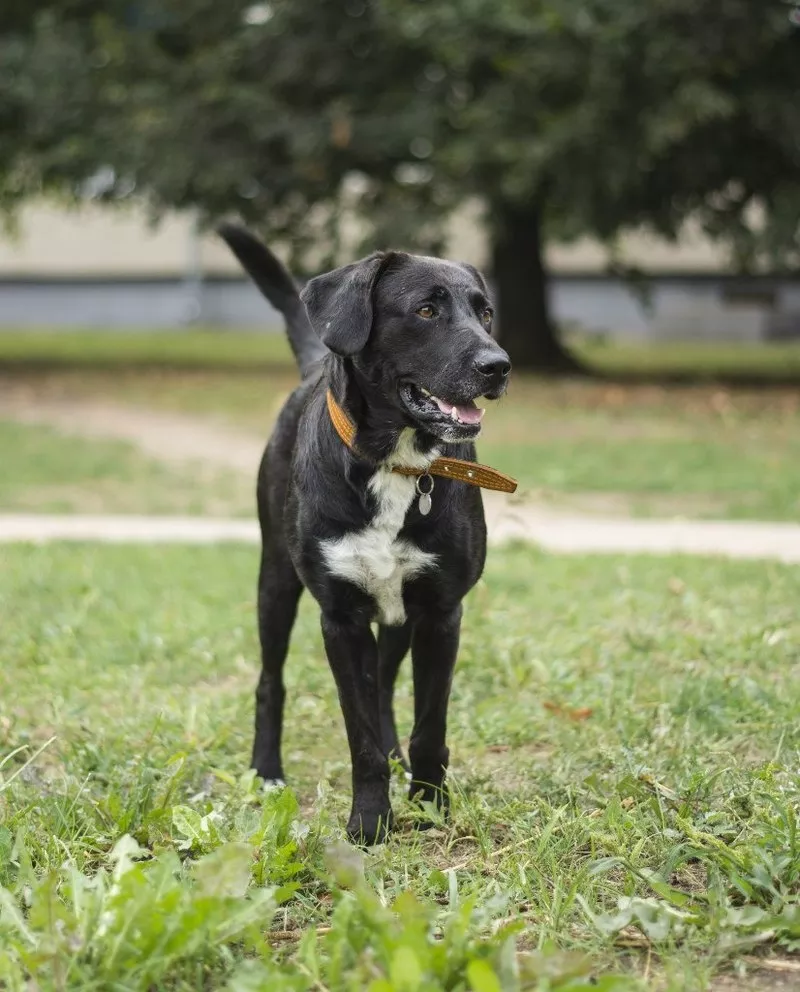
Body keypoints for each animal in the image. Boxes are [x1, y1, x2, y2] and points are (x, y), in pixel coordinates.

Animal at [217, 227, 512, 844]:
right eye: (426, 310)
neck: (397, 463)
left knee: (384, 689)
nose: (499, 365)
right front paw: (370, 822)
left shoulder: (439, 613)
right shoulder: (341, 619)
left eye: (485, 313)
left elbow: (429, 726)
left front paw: (429, 806)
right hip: (275, 580)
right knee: (271, 680)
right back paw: (265, 771)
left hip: (398, 616)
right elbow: (359, 739)